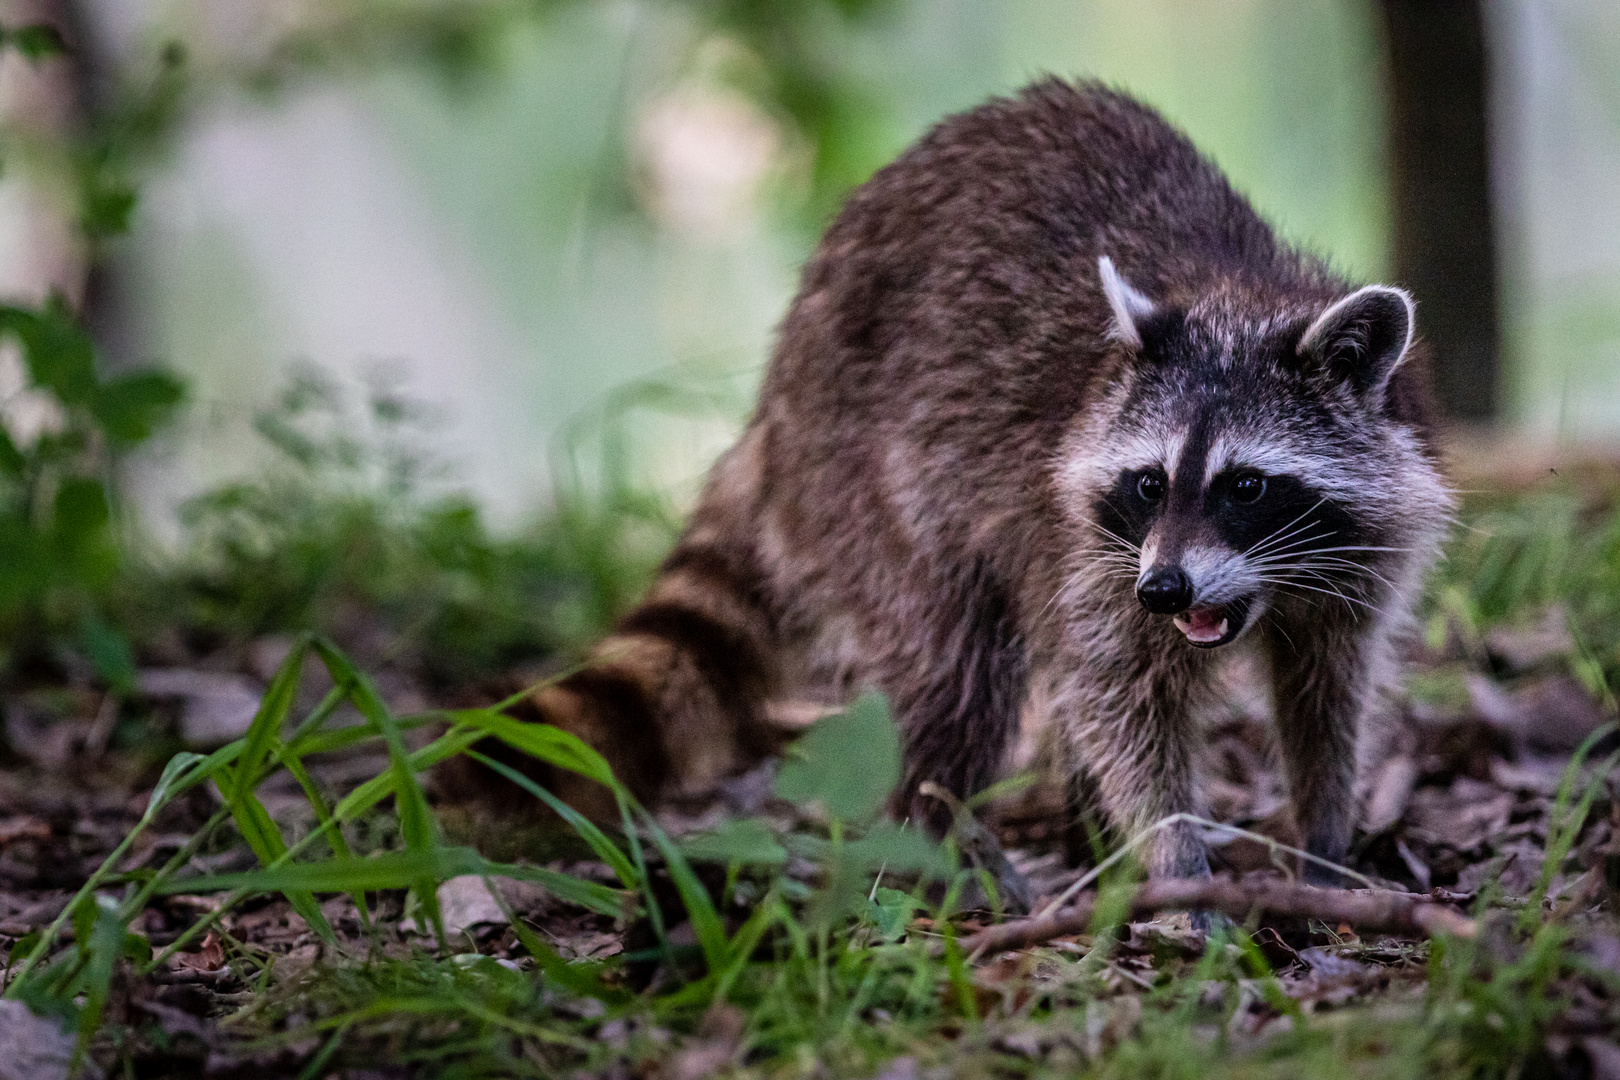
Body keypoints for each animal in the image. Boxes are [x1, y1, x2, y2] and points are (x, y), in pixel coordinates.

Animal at [460, 76, 1458, 887]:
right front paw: (1174, 852)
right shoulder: (1094, 546)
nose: (1165, 588)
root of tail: (776, 402)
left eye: (1245, 486)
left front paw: (1323, 830)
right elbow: (1122, 698)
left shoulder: (1364, 548)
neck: (1242, 296)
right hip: (873, 482)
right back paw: (939, 828)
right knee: (957, 666)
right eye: (1148, 483)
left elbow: (1329, 687)